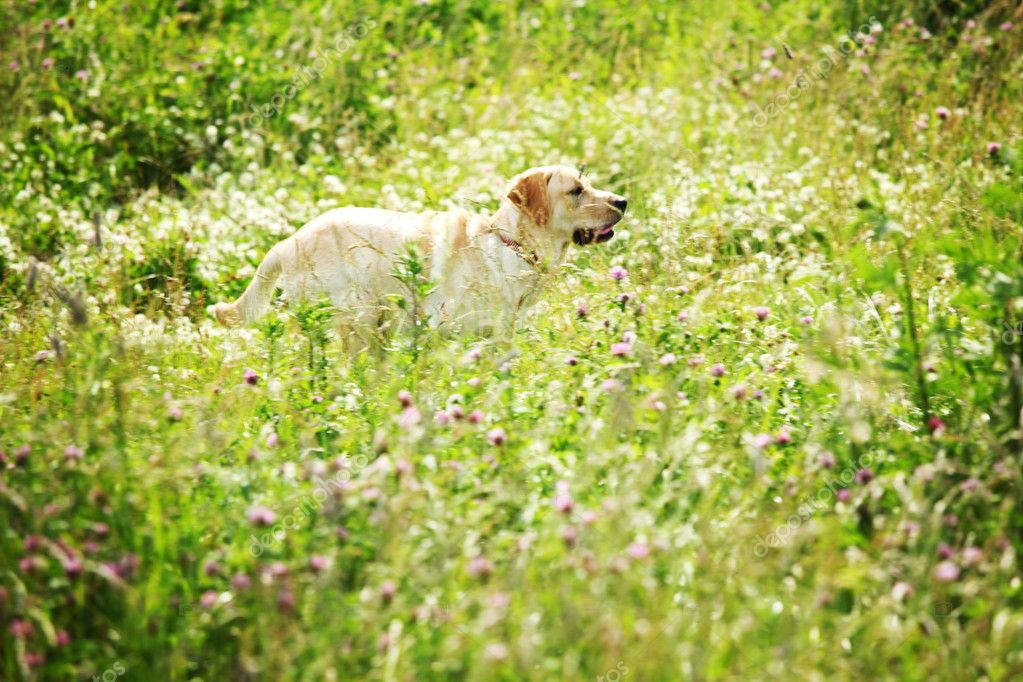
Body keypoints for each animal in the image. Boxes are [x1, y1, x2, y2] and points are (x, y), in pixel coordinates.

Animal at [212, 165, 626, 341]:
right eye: (576, 191)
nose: (623, 201)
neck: (511, 244)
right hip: (354, 317)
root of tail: (288, 241)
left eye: (588, 183)